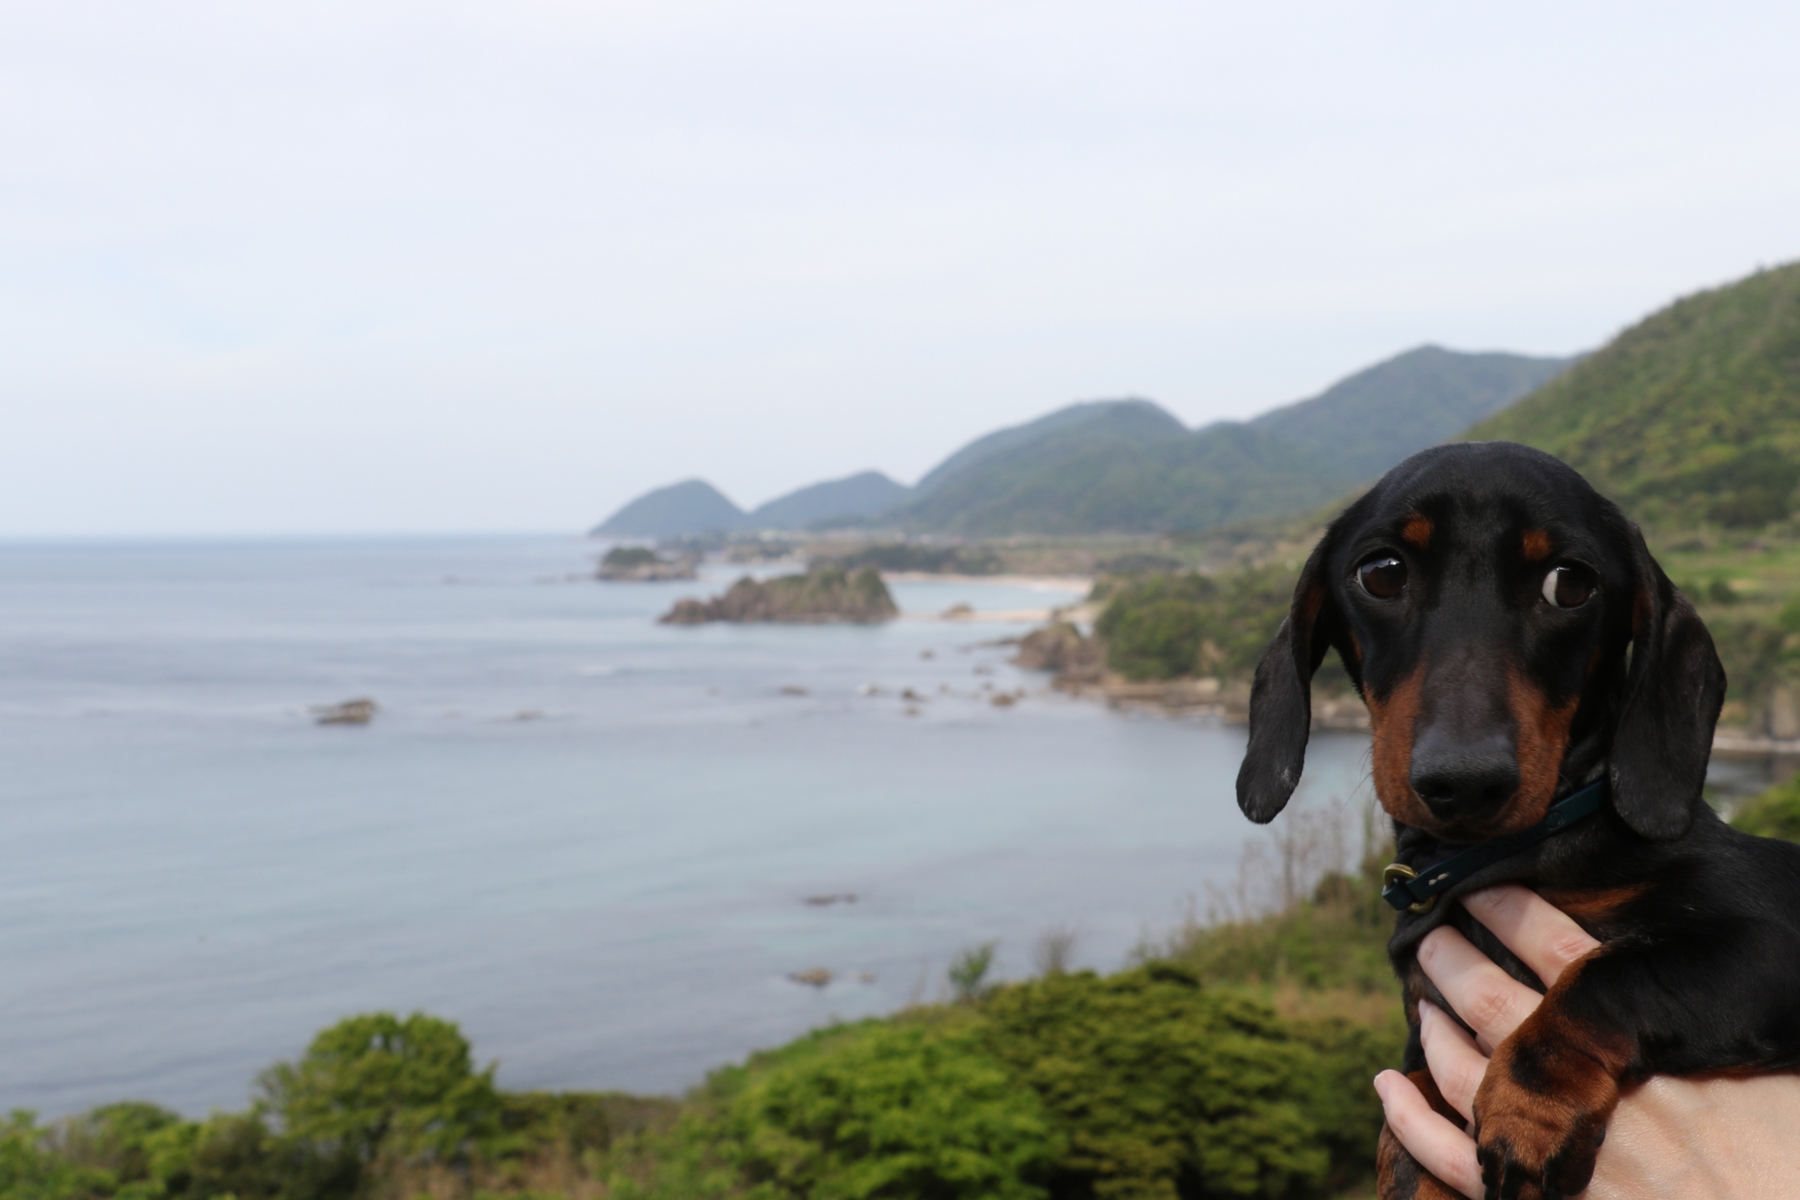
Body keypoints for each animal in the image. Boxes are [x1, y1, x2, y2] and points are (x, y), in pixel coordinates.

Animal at [1245, 440, 1800, 1200]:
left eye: (1570, 584)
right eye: (1382, 573)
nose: (1463, 780)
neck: (1512, 855)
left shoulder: (1767, 941)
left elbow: (1607, 975)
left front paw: (1530, 1108)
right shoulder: (1427, 1032)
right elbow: (1411, 1120)